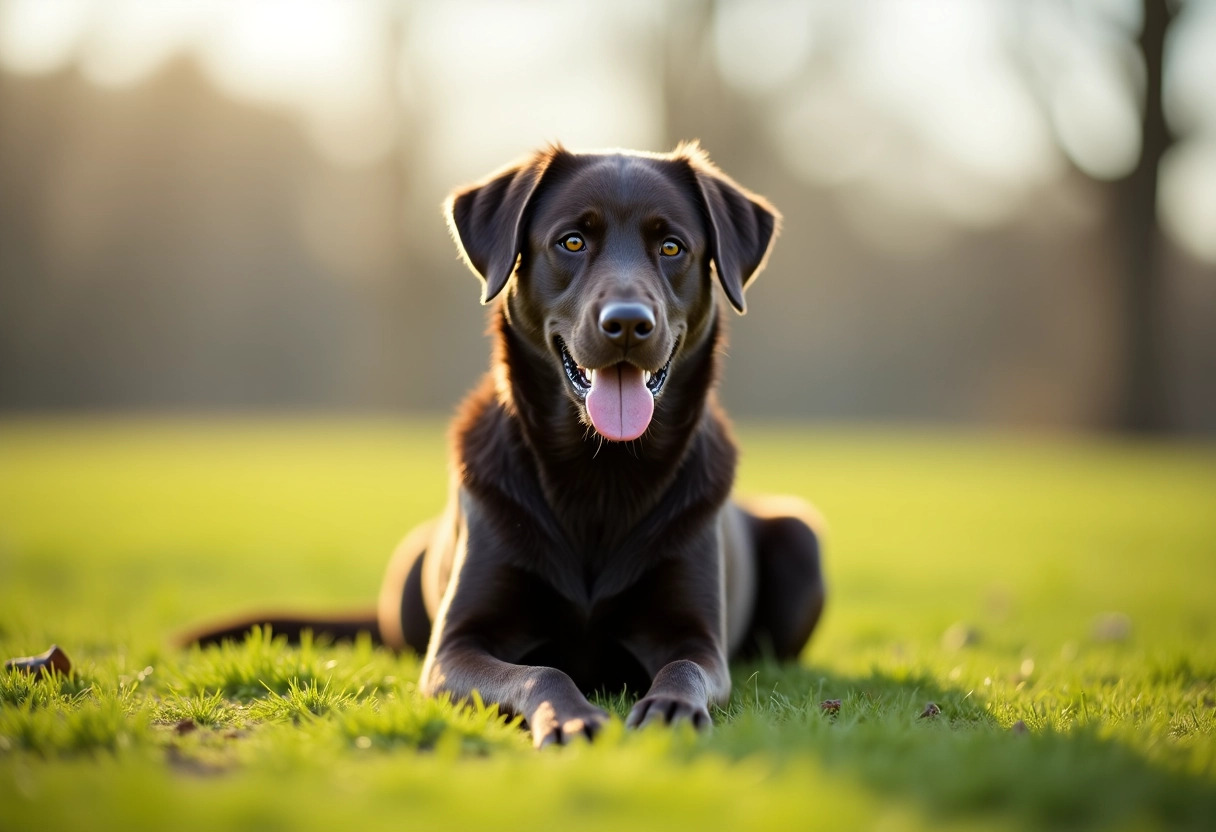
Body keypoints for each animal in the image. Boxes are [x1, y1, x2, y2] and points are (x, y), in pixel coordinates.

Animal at [184, 142, 826, 749]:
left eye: (672, 248)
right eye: (571, 241)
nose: (627, 323)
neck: (599, 474)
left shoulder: (697, 638)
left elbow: (685, 671)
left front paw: (671, 709)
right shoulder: (453, 647)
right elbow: (542, 671)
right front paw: (570, 718)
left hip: (801, 534)